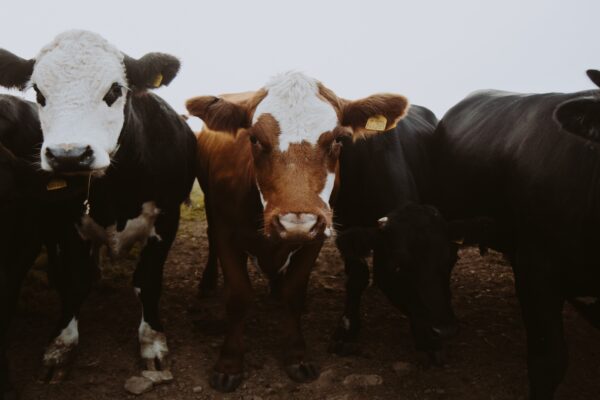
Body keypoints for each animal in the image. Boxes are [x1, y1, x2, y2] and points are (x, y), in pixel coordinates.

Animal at [0, 28, 195, 388]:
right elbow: (74, 281)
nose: (69, 155)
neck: (113, 192)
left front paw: (152, 342)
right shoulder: (66, 222)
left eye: (115, 90)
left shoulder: (168, 217)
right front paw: (61, 345)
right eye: (39, 92)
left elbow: (148, 281)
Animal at [188, 70, 454, 392]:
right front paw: (229, 364)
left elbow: (294, 294)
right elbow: (238, 297)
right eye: (253, 138)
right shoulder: (227, 232)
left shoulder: (318, 238)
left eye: (339, 139)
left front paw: (297, 356)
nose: (296, 221)